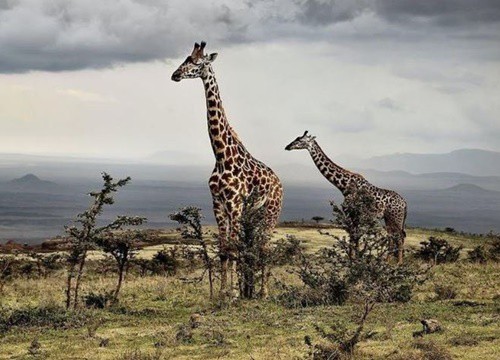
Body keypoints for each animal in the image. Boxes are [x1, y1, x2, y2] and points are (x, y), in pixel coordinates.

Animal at [171, 42, 282, 296]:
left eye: (197, 62)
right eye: (186, 58)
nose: (175, 75)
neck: (221, 156)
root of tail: (279, 181)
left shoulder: (234, 204)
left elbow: (232, 249)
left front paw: (232, 294)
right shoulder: (218, 204)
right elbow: (225, 250)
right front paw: (224, 293)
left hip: (271, 211)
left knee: (265, 247)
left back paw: (263, 293)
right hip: (254, 215)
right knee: (253, 245)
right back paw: (251, 291)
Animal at [286, 131, 406, 262]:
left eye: (300, 140)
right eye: (296, 138)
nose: (287, 146)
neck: (344, 185)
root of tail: (405, 203)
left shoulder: (351, 213)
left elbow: (353, 237)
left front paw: (352, 259)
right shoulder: (355, 215)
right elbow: (354, 237)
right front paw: (355, 258)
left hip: (396, 218)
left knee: (400, 237)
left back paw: (399, 263)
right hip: (388, 218)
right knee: (392, 236)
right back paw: (386, 260)